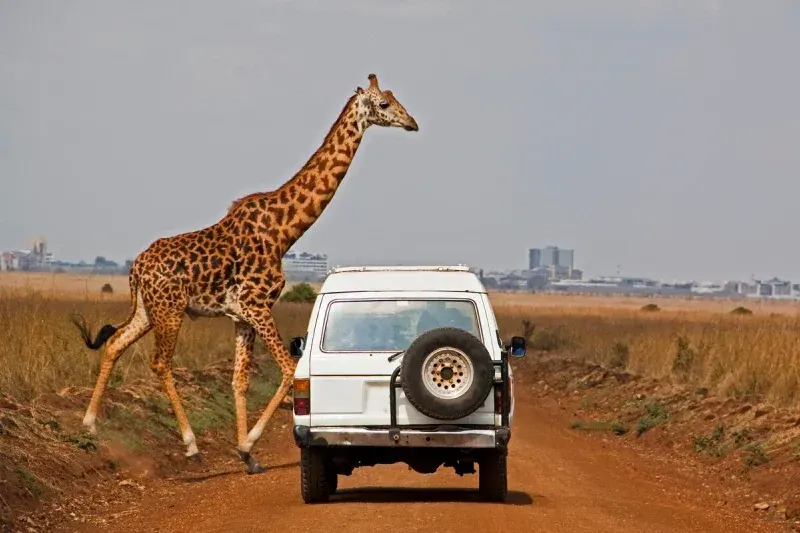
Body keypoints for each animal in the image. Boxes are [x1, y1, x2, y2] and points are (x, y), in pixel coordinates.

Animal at [71, 73, 419, 474]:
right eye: (384, 104)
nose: (412, 122)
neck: (284, 231)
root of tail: (136, 269)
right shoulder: (257, 305)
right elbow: (288, 368)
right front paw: (248, 444)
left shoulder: (241, 315)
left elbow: (240, 382)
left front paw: (247, 454)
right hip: (170, 311)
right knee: (160, 362)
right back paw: (191, 445)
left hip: (147, 309)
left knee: (114, 344)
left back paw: (89, 426)